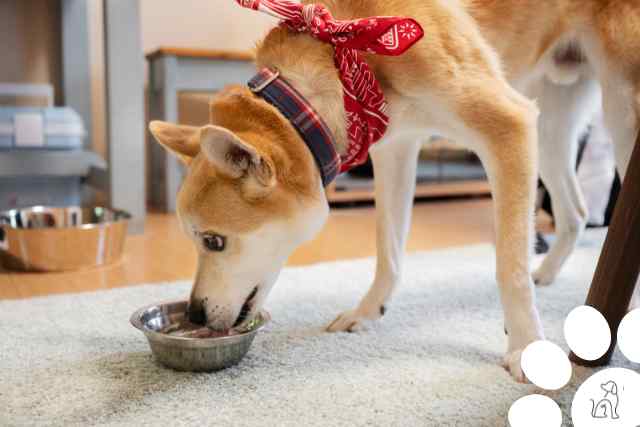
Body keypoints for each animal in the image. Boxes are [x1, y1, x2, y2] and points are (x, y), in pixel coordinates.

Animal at [150, 0, 640, 382]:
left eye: (214, 241)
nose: (193, 315)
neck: (346, 55)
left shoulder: (508, 124)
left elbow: (509, 267)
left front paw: (524, 347)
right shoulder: (395, 148)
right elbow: (389, 251)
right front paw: (367, 312)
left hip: (619, 110)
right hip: (552, 122)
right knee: (576, 212)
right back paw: (550, 273)